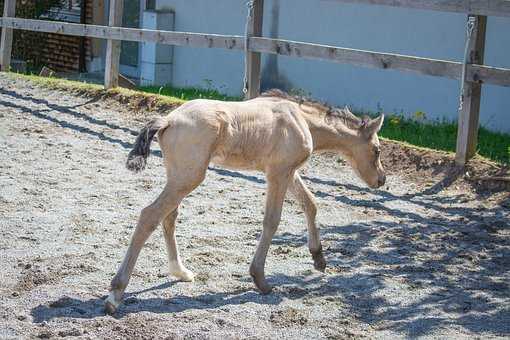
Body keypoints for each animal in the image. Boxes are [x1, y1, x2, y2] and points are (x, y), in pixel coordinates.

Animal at [105, 89, 384, 314]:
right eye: (377, 150)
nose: (381, 180)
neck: (301, 120)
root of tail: (168, 120)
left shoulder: (288, 172)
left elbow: (311, 203)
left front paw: (318, 257)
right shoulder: (278, 173)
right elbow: (272, 221)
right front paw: (260, 279)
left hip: (179, 177)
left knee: (169, 216)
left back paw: (180, 271)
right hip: (188, 177)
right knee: (150, 215)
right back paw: (116, 294)